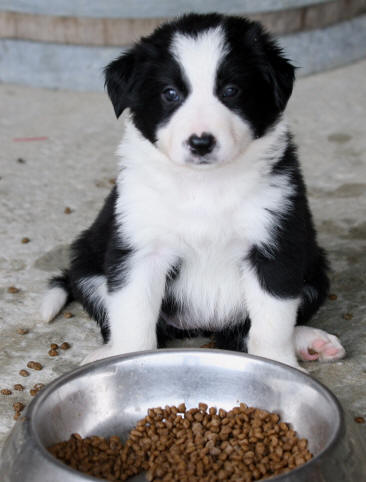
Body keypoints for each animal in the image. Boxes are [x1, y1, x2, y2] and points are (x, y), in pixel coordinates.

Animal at [40, 12, 346, 370]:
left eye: (231, 90)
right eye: (170, 93)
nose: (201, 142)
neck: (204, 185)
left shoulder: (276, 246)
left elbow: (272, 323)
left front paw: (279, 366)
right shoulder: (140, 249)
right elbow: (134, 320)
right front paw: (126, 361)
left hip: (315, 269)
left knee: (242, 332)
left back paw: (311, 341)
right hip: (88, 266)